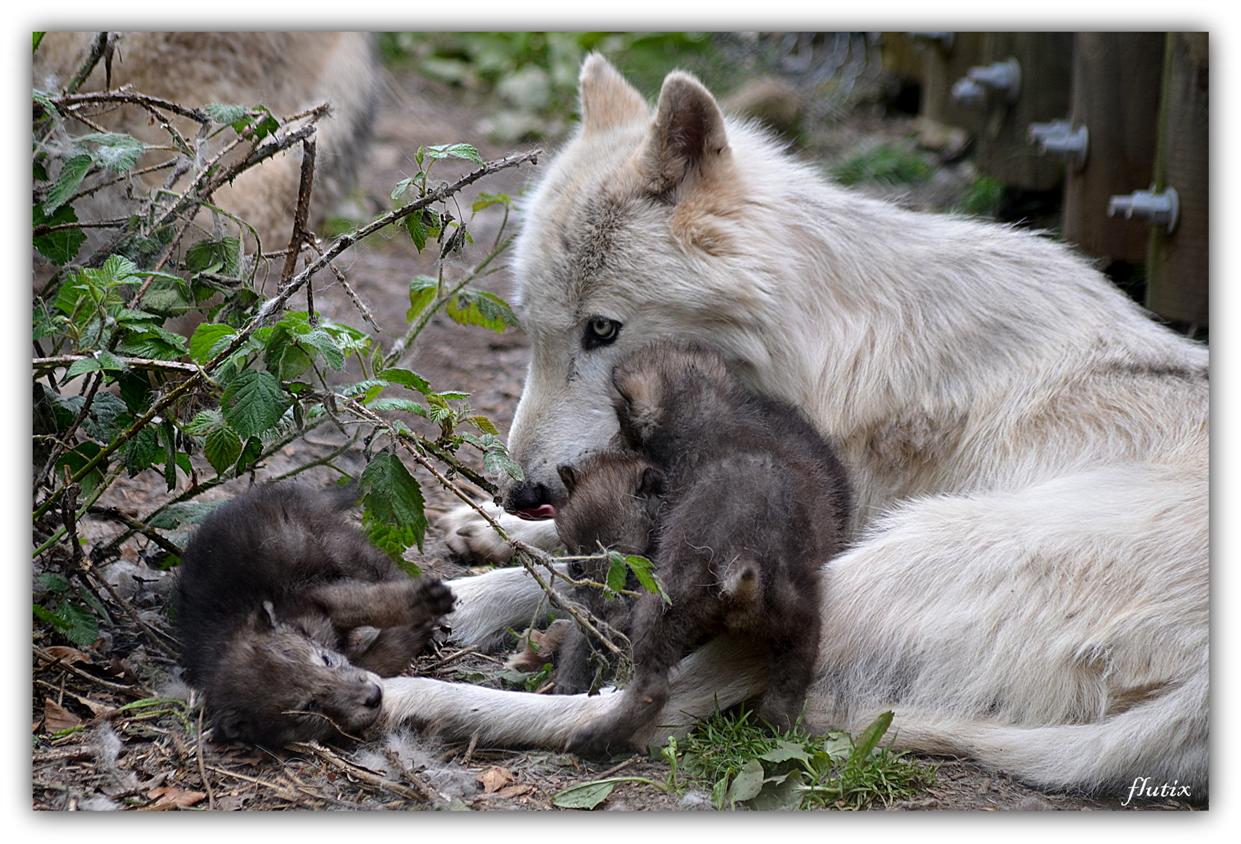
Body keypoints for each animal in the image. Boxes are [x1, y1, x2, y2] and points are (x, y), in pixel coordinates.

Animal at [382, 54, 1206, 799]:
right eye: (534, 333)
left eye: (602, 330)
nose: (517, 490)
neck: (829, 337)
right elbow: (559, 556)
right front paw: (481, 541)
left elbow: (570, 569)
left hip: (876, 562)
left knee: (646, 713)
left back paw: (409, 697)